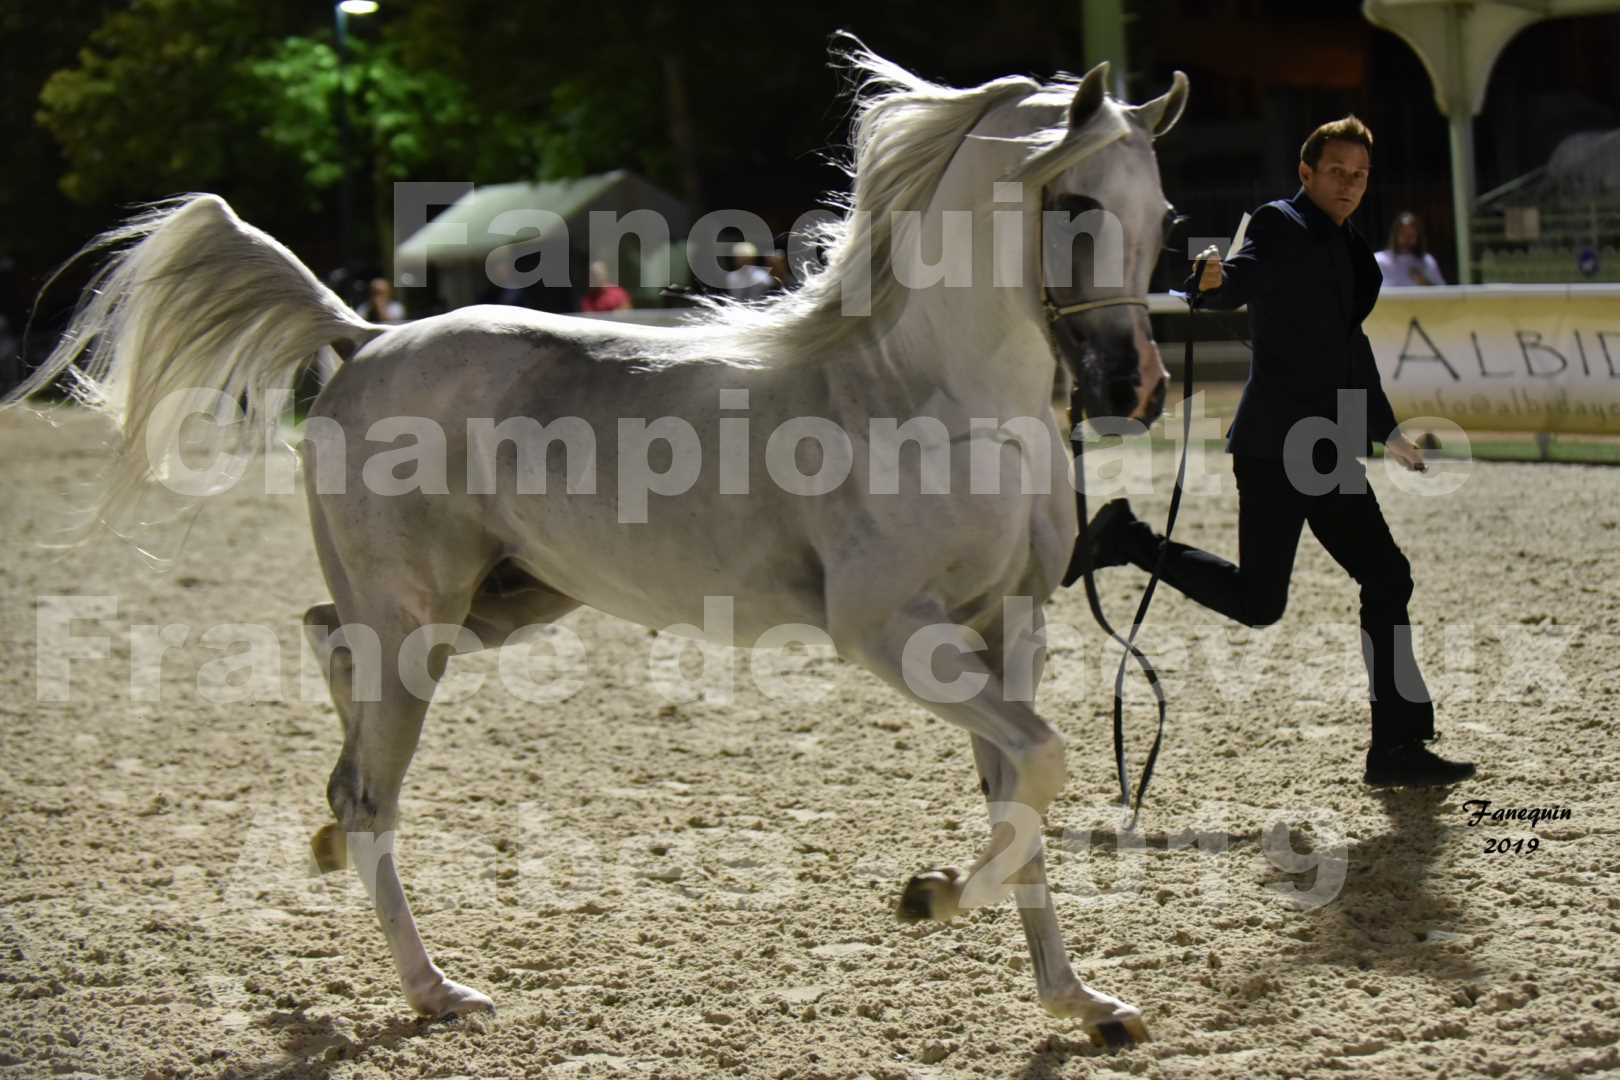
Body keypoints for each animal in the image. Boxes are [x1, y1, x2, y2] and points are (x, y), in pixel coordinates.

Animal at [9, 50, 1192, 1049]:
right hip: (419, 625)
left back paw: (335, 845)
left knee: (325, 650)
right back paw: (435, 989)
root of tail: (366, 337)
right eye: (1075, 203)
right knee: (370, 790)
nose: (1131, 386)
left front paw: (1084, 1005)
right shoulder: (889, 633)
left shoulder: (1007, 627)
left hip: (497, 605)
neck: (930, 396)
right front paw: (929, 897)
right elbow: (1044, 763)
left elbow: (1024, 790)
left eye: (1165, 214)